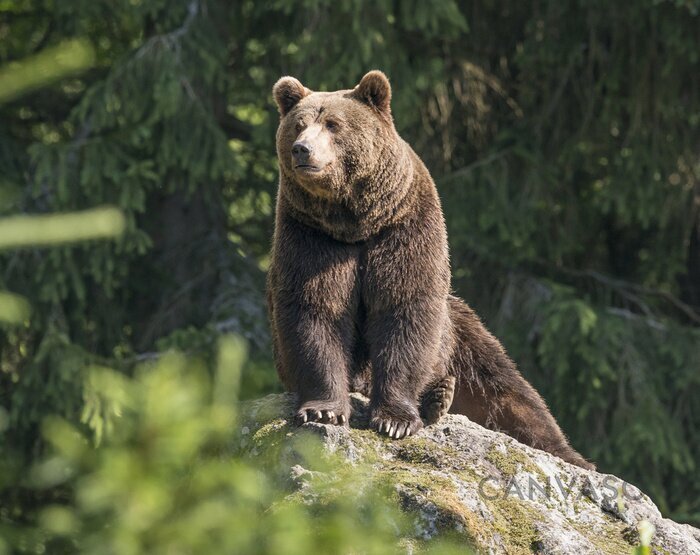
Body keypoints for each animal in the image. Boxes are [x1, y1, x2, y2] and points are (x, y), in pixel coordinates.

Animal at [266, 68, 592, 470]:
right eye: (298, 125)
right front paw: (324, 410)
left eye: (333, 124)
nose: (302, 149)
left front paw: (395, 419)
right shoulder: (312, 238)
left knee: (507, 388)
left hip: (461, 330)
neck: (355, 222)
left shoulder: (404, 228)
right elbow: (315, 309)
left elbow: (406, 309)